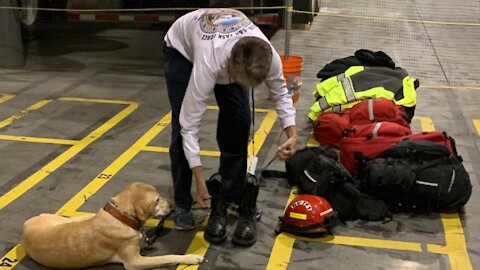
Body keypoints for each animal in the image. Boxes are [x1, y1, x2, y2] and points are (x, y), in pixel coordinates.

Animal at [21, 182, 204, 268]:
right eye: (157, 200)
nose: (173, 206)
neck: (121, 216)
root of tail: (25, 225)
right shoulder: (134, 262)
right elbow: (167, 257)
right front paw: (190, 257)